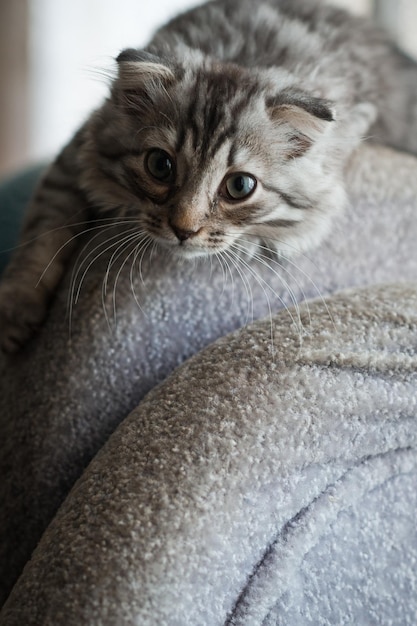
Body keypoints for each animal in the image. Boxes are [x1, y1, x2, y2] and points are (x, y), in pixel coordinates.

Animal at [0, 0, 416, 352]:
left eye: (239, 186)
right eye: (160, 165)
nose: (183, 230)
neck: (242, 56)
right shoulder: (75, 153)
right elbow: (43, 231)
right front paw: (15, 312)